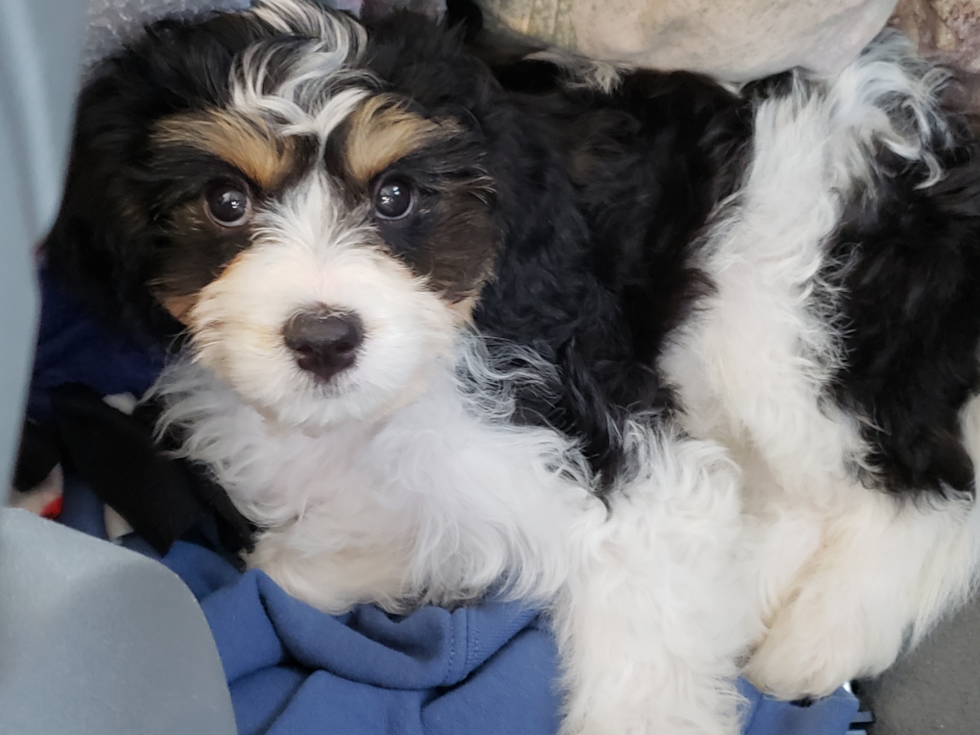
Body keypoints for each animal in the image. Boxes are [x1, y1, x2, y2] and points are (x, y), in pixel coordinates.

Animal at [47, 0, 980, 732]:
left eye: (396, 196)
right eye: (226, 201)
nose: (325, 337)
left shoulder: (610, 437)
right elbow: (356, 534)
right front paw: (332, 562)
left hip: (784, 312)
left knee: (925, 493)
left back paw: (808, 642)